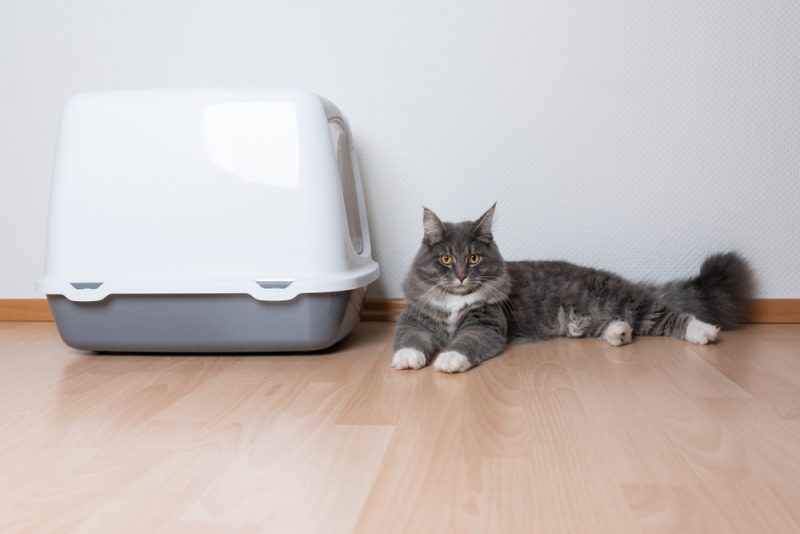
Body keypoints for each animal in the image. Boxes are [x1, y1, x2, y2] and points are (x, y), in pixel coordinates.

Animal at [390, 207, 752, 374]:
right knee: (619, 325)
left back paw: (703, 331)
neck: (455, 301)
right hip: (582, 322)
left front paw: (448, 359)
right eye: (446, 259)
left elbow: (464, 343)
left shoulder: (485, 324)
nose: (462, 277)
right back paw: (619, 333)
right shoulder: (414, 320)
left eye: (474, 258)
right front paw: (408, 358)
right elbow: (411, 340)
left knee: (669, 316)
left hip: (629, 302)